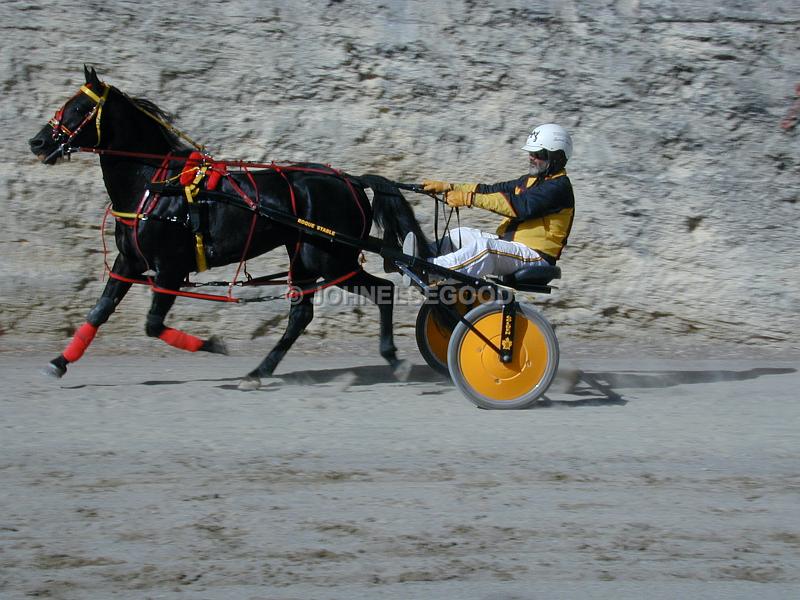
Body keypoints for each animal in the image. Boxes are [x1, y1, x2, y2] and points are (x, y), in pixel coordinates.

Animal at [29, 67, 432, 390]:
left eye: (78, 109)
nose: (38, 142)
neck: (156, 185)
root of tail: (350, 179)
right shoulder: (128, 262)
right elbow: (99, 312)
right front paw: (59, 362)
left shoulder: (170, 268)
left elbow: (153, 325)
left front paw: (213, 344)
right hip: (305, 257)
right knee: (301, 316)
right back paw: (259, 371)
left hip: (330, 259)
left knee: (381, 291)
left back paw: (393, 359)